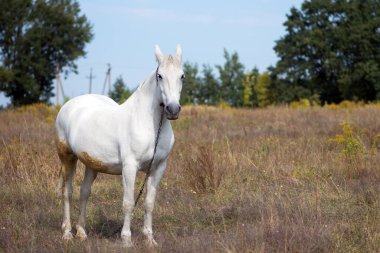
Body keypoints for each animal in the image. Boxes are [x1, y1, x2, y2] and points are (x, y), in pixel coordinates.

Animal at [55, 44, 184, 246]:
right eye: (160, 76)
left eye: (182, 76)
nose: (172, 109)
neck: (148, 123)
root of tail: (68, 105)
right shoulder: (129, 167)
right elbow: (128, 202)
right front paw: (126, 239)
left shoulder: (158, 168)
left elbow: (149, 203)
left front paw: (149, 239)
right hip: (67, 157)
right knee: (67, 192)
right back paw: (67, 232)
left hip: (92, 164)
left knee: (84, 193)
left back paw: (82, 232)